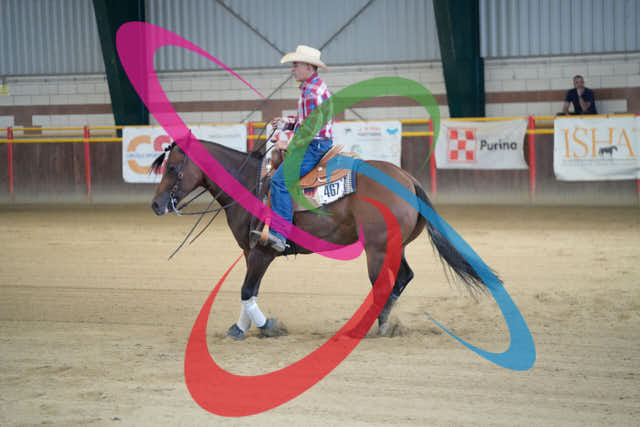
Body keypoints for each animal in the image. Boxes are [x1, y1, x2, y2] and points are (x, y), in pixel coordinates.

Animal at [150, 137, 488, 339]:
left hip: (377, 249)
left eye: (173, 167)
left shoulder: (263, 251)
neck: (249, 184)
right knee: (402, 279)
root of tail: (408, 179)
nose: (155, 205)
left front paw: (267, 326)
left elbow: (247, 290)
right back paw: (383, 325)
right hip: (394, 246)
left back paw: (362, 328)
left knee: (384, 285)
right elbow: (250, 291)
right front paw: (240, 328)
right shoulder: (249, 251)